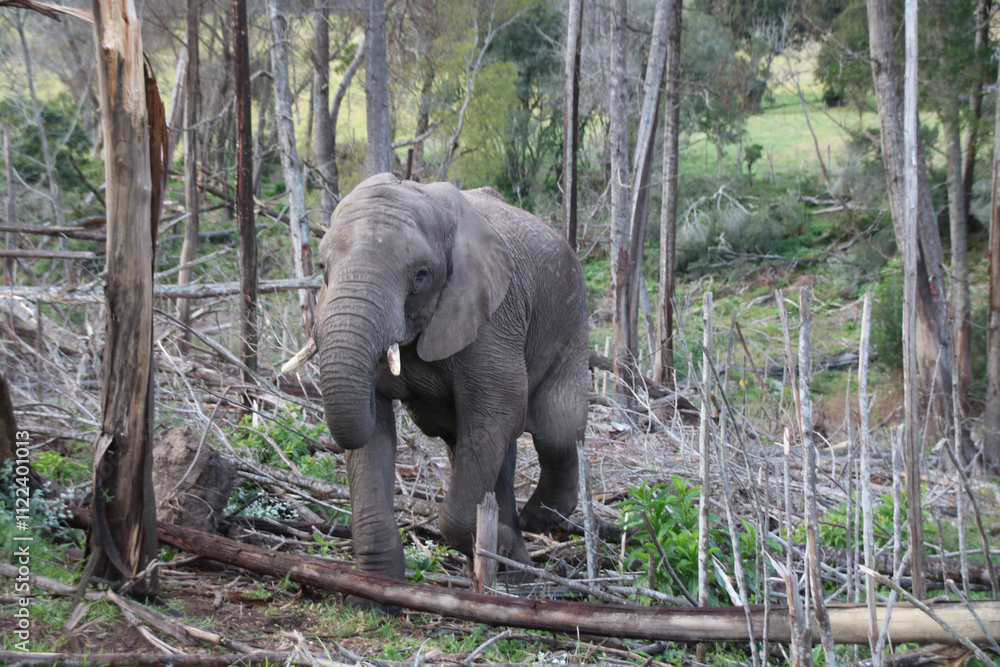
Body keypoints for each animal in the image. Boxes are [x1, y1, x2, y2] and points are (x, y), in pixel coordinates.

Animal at [286, 173, 589, 592]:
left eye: (421, 275)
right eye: (322, 265)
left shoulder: (494, 314)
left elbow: (498, 413)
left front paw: (501, 545)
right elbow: (373, 429)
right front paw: (375, 592)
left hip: (571, 317)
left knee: (554, 428)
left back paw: (535, 524)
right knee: (479, 447)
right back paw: (513, 570)